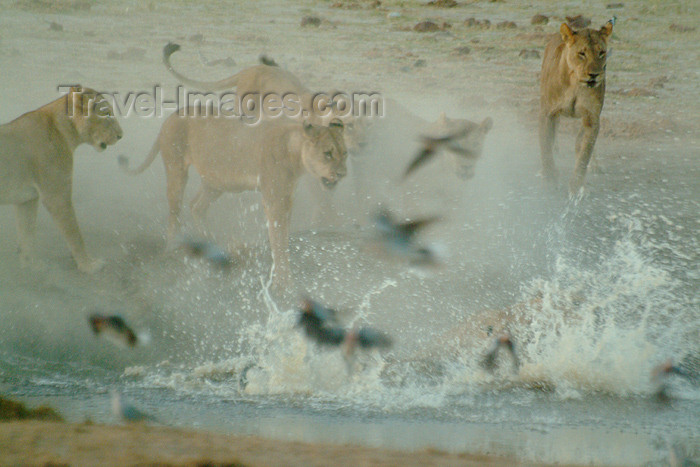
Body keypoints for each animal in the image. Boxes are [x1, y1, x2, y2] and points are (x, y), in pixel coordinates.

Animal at [0, 86, 123, 272]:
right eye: (107, 113)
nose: (121, 135)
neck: (67, 133)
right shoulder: (57, 197)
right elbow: (74, 235)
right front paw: (89, 266)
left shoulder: (27, 200)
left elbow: (27, 235)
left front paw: (31, 267)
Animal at [121, 109, 348, 286]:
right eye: (327, 154)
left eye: (344, 153)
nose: (342, 174)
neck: (296, 153)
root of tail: (170, 117)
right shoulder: (275, 199)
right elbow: (279, 240)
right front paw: (284, 282)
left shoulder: (286, 198)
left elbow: (282, 237)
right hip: (176, 168)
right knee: (175, 213)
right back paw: (171, 249)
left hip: (217, 181)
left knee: (196, 206)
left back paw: (213, 245)